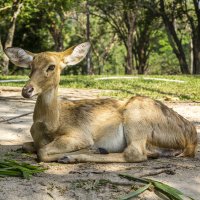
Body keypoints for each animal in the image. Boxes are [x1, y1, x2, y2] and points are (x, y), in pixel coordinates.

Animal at [3, 41, 198, 162]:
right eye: (30, 66)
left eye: (51, 67)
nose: (26, 90)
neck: (50, 125)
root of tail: (191, 138)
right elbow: (25, 145)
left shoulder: (79, 134)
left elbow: (42, 152)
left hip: (137, 117)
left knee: (134, 154)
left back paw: (75, 156)